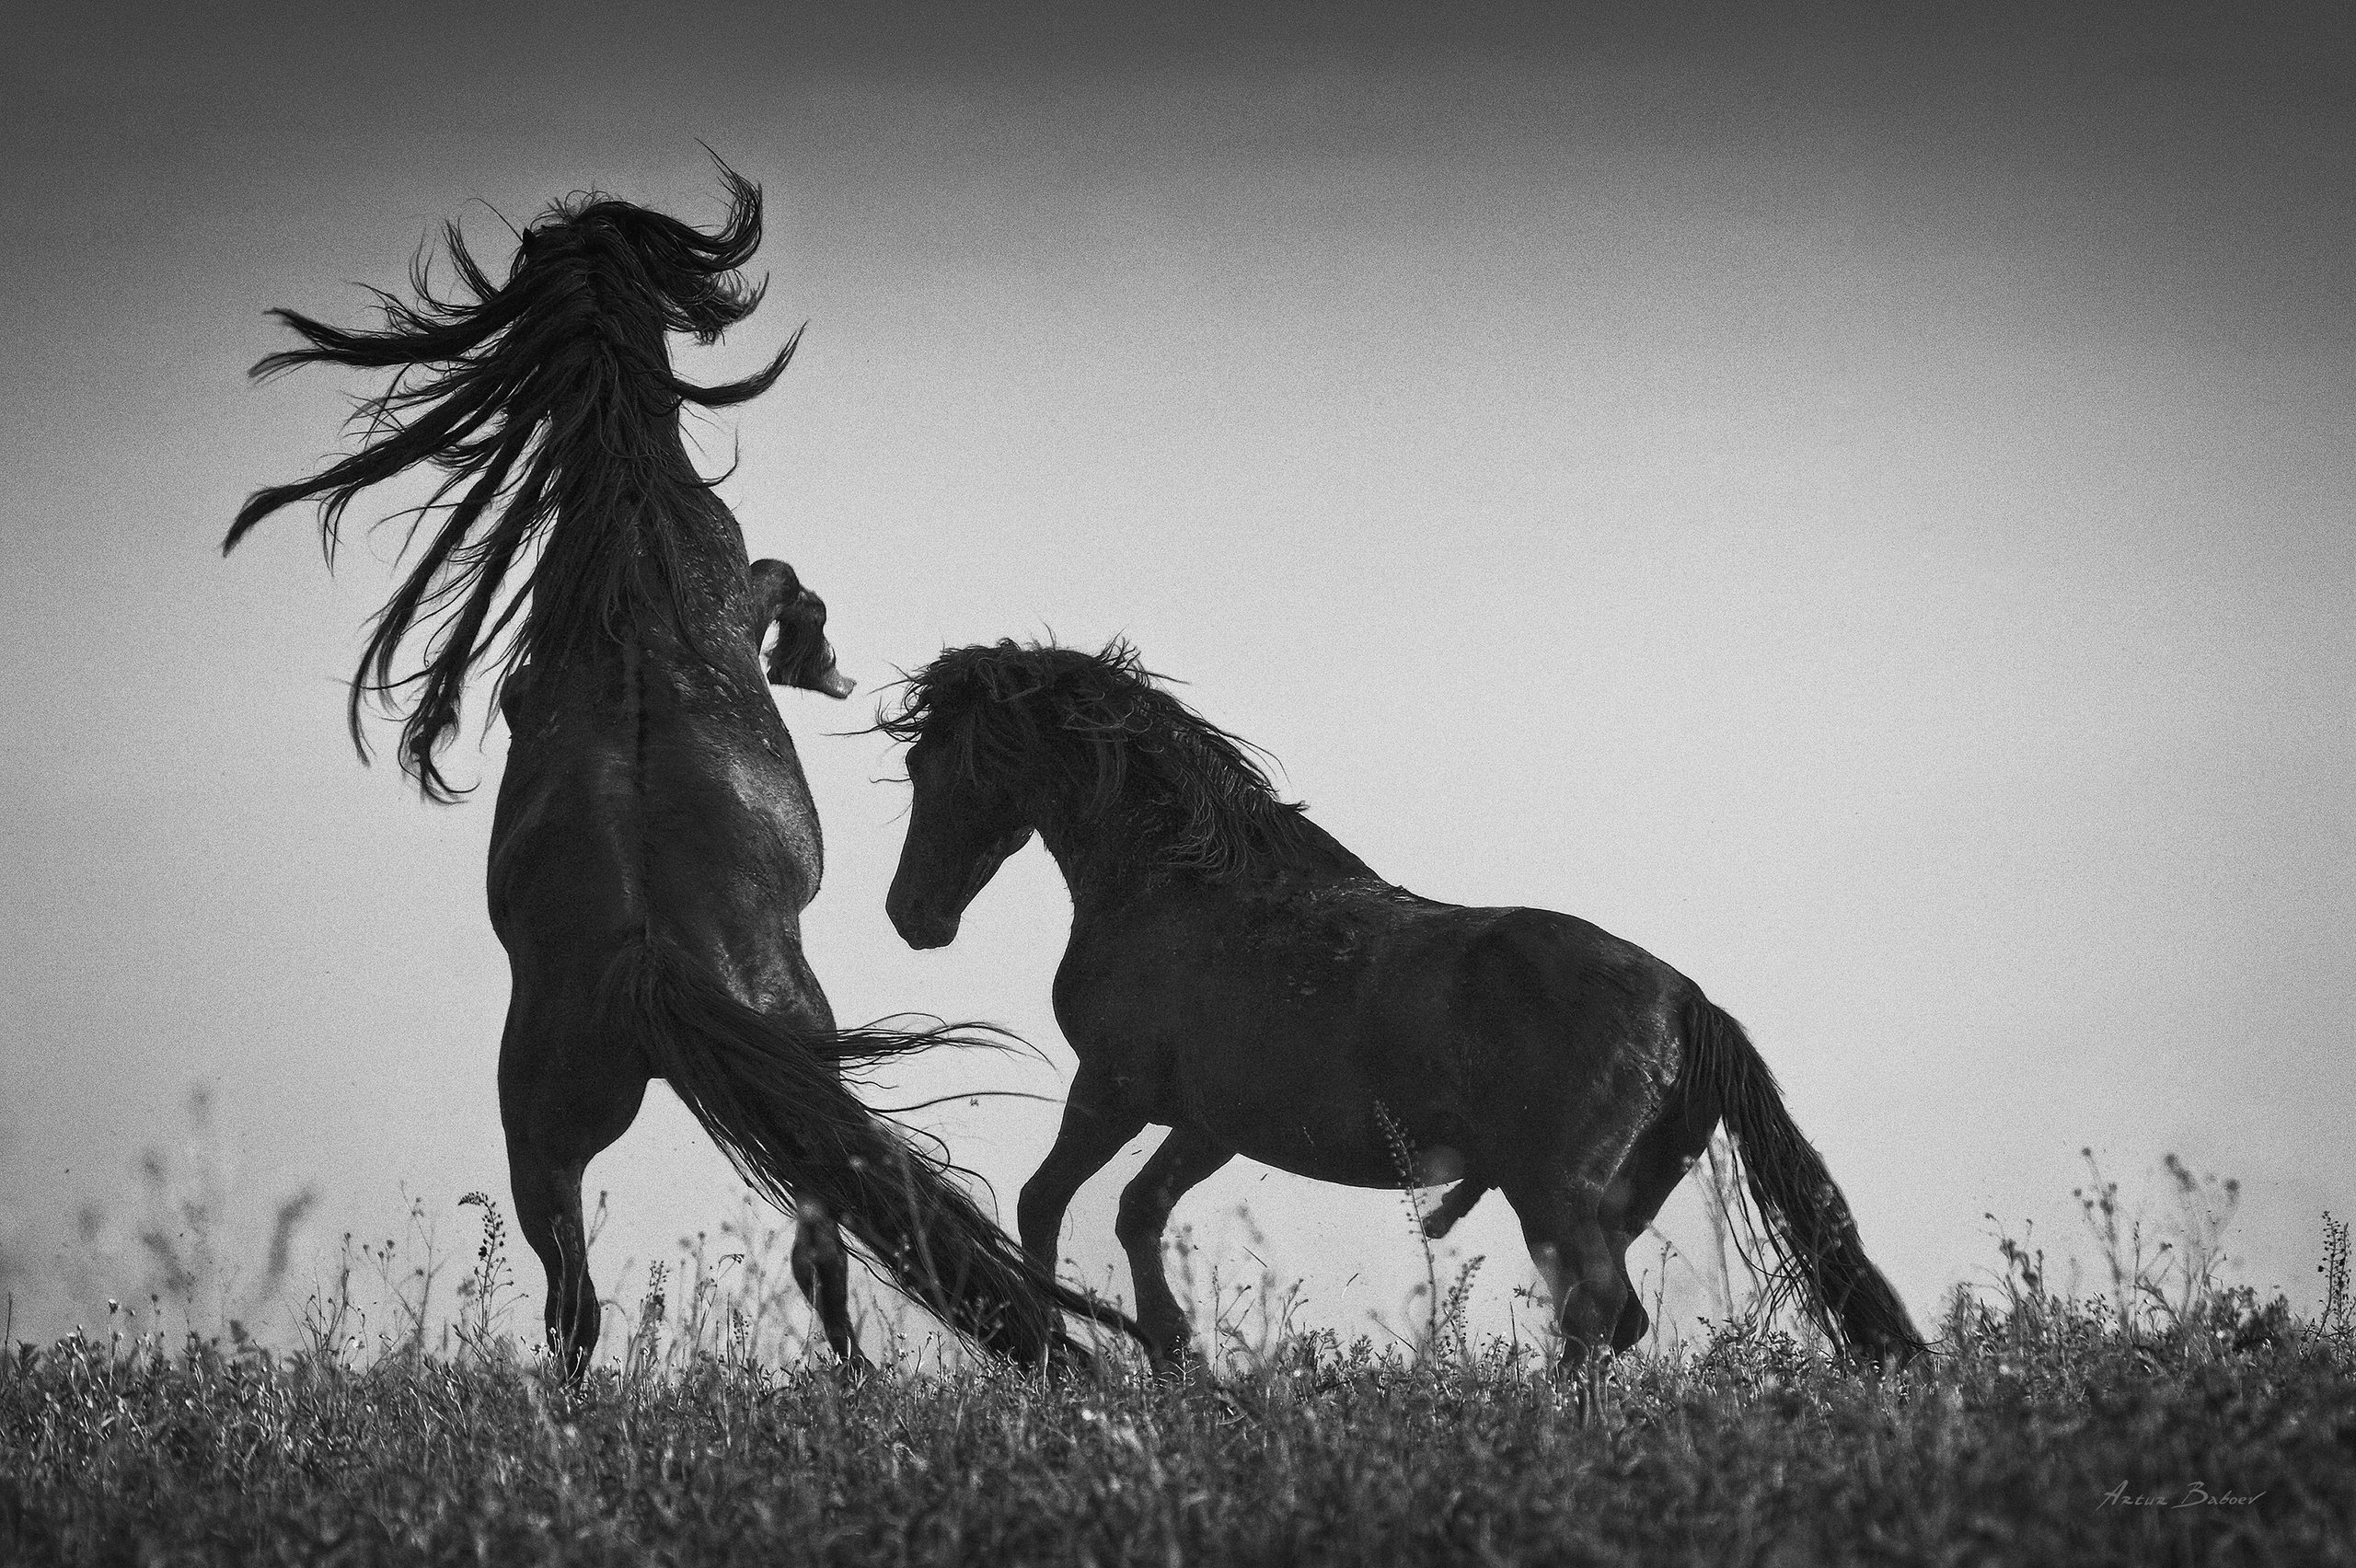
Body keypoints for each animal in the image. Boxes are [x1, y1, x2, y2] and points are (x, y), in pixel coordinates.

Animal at [222, 165, 1137, 1374]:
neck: (630, 535)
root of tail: (648, 971)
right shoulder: (739, 594)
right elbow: (788, 580)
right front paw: (822, 670)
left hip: (545, 1141)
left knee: (574, 1302)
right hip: (793, 1071)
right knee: (818, 1253)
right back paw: (855, 1381)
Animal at [878, 639, 1927, 1373]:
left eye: (939, 767)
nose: (911, 915)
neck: (1178, 886)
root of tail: (1686, 1000)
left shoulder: (1112, 1092)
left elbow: (1044, 1203)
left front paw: (1061, 1344)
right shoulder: (1211, 1123)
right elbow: (1139, 1212)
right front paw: (1178, 1358)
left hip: (1554, 1195)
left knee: (1595, 1316)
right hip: (1620, 1199)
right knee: (1607, 1320)